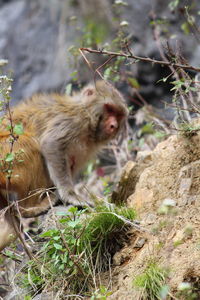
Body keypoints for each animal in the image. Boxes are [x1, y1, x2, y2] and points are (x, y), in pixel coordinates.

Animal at [0, 80, 128, 251]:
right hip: (7, 155)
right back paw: (32, 208)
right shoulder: (73, 121)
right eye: (109, 108)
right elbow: (51, 144)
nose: (114, 125)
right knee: (31, 144)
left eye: (118, 114)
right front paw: (70, 195)